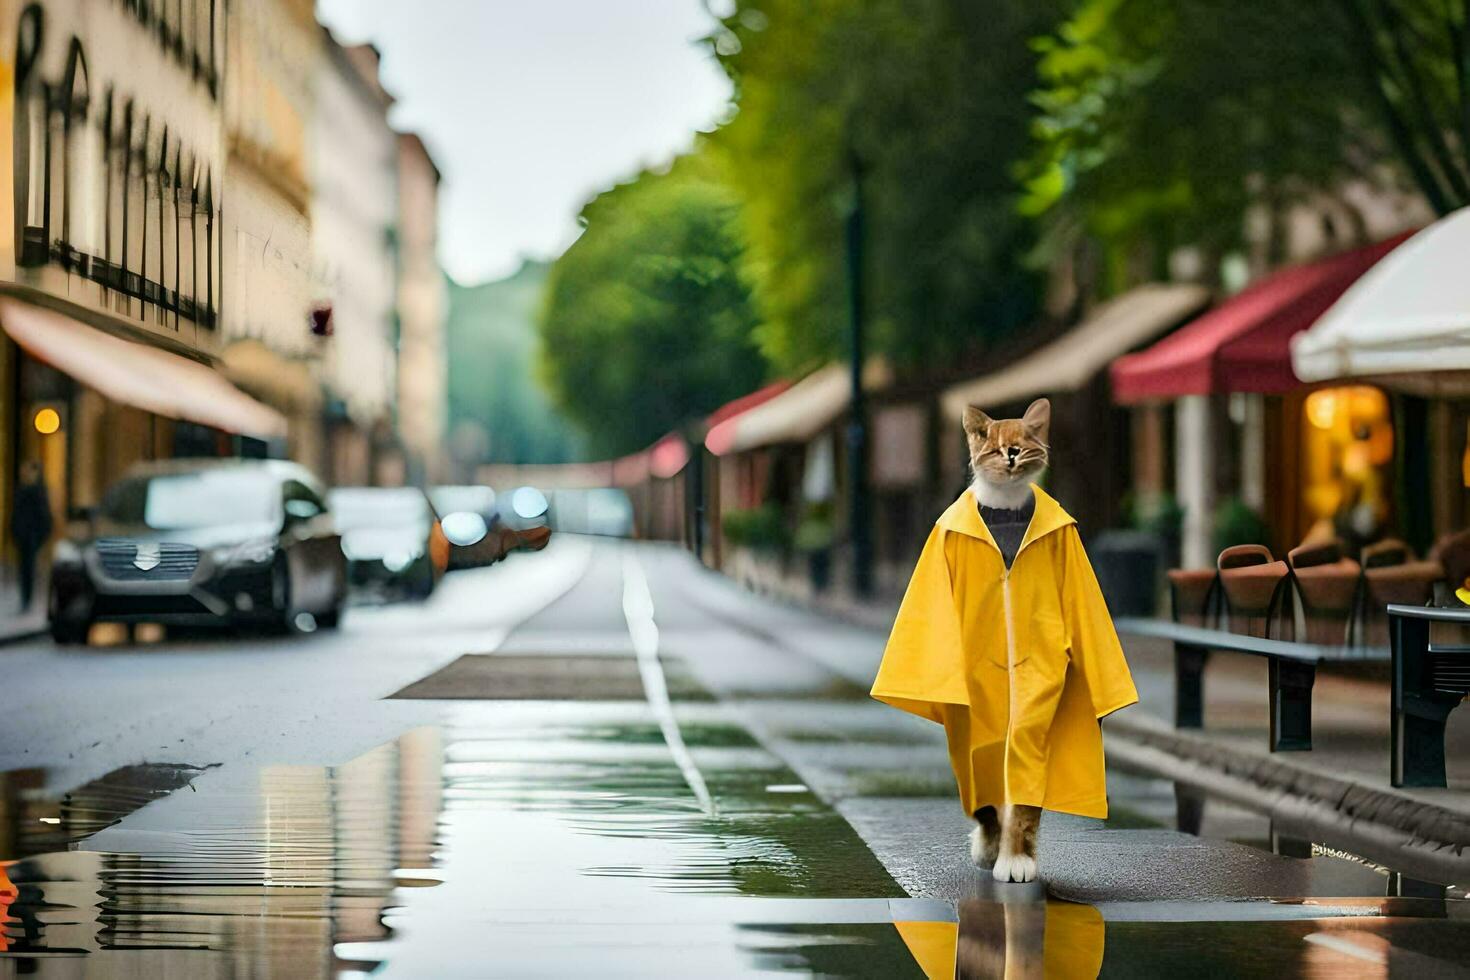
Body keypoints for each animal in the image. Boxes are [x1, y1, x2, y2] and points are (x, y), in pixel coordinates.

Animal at [870, 399, 1134, 881]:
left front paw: (1018, 857)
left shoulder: (1068, 554)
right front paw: (992, 847)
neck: (1008, 509)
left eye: (1024, 443)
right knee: (982, 774)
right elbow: (986, 798)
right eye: (993, 445)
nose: (1010, 455)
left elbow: (1024, 797)